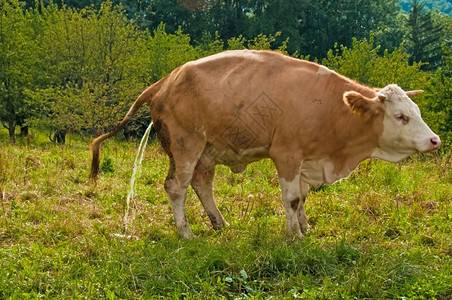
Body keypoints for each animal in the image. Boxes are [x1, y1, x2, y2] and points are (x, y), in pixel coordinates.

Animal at [89, 49, 442, 238]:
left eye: (416, 111)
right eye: (400, 116)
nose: (434, 140)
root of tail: (166, 80)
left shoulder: (307, 159)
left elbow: (302, 197)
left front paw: (305, 228)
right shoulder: (286, 155)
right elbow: (291, 199)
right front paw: (293, 234)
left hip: (207, 151)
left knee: (203, 185)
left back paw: (221, 223)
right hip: (186, 145)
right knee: (177, 187)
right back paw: (186, 232)